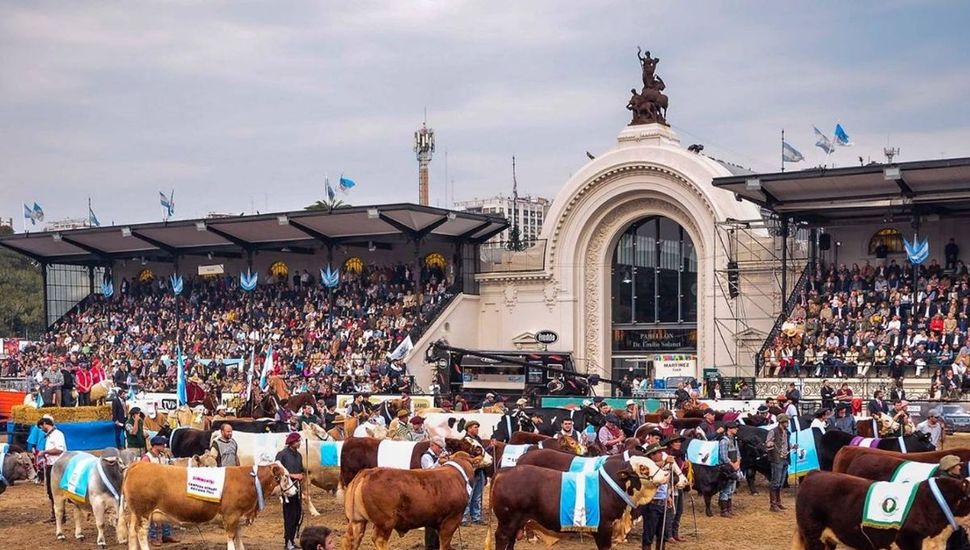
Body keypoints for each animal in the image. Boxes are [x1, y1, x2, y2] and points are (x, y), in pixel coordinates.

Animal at [123, 462, 294, 550]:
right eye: (285, 476)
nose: (295, 490)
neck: (250, 481)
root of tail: (139, 464)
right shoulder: (231, 516)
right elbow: (231, 539)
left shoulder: (238, 518)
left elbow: (239, 539)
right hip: (144, 512)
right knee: (141, 533)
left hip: (136, 513)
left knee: (132, 533)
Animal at [342, 452, 478, 550]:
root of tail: (367, 472)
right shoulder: (452, 520)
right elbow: (445, 544)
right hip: (385, 522)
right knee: (379, 540)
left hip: (357, 520)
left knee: (350, 540)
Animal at [488, 458, 668, 550]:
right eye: (643, 467)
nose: (666, 474)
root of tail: (505, 471)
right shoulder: (603, 528)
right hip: (507, 522)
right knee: (502, 538)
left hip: (516, 523)